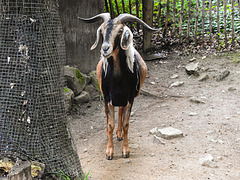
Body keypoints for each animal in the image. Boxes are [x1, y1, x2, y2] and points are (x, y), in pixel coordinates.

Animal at [79, 13, 159, 160]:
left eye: (120, 31)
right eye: (102, 30)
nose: (105, 49)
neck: (117, 79)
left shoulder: (130, 97)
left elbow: (127, 123)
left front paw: (125, 151)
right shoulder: (107, 97)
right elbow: (110, 123)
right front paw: (109, 152)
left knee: (121, 111)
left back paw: (120, 134)